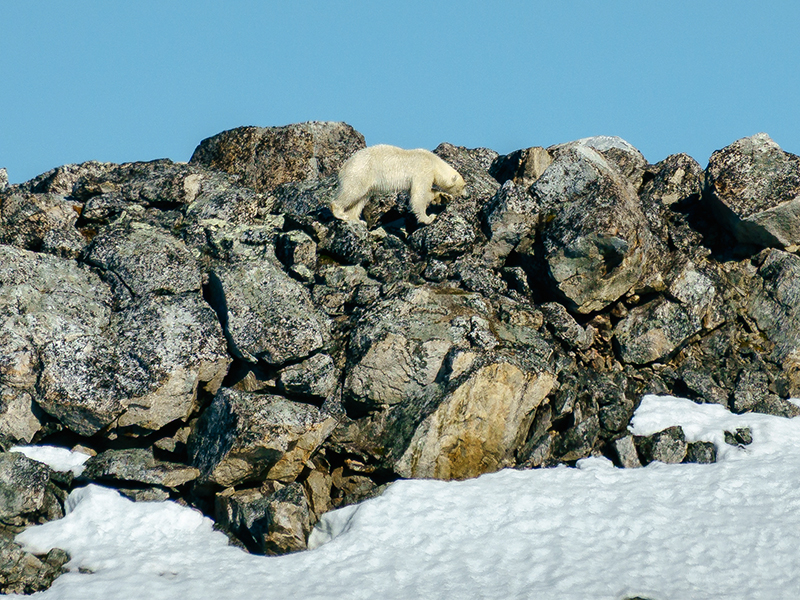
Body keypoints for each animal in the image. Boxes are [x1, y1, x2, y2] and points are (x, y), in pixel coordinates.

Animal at [329, 144, 467, 225]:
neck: (434, 162)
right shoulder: (423, 170)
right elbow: (419, 195)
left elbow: (420, 193)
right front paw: (428, 218)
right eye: (464, 186)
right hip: (360, 172)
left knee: (361, 198)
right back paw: (340, 213)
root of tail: (344, 166)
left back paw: (356, 219)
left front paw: (444, 197)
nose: (467, 196)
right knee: (352, 191)